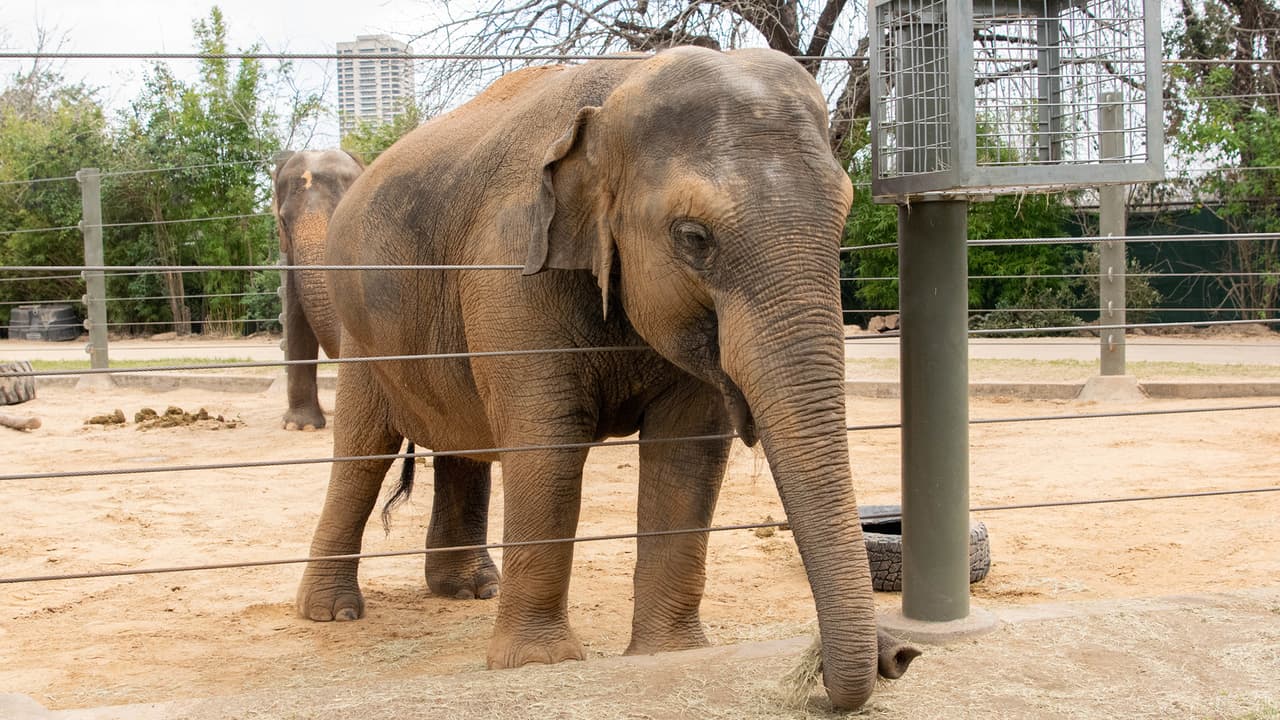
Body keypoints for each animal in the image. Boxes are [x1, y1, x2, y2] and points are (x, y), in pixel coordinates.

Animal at [296, 46, 917, 710]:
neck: (620, 89)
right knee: (364, 452)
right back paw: (332, 612)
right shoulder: (511, 267)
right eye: (693, 237)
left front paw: (670, 653)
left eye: (844, 216)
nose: (898, 655)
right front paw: (537, 664)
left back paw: (471, 590)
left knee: (462, 443)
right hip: (361, 334)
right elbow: (548, 444)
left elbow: (689, 451)